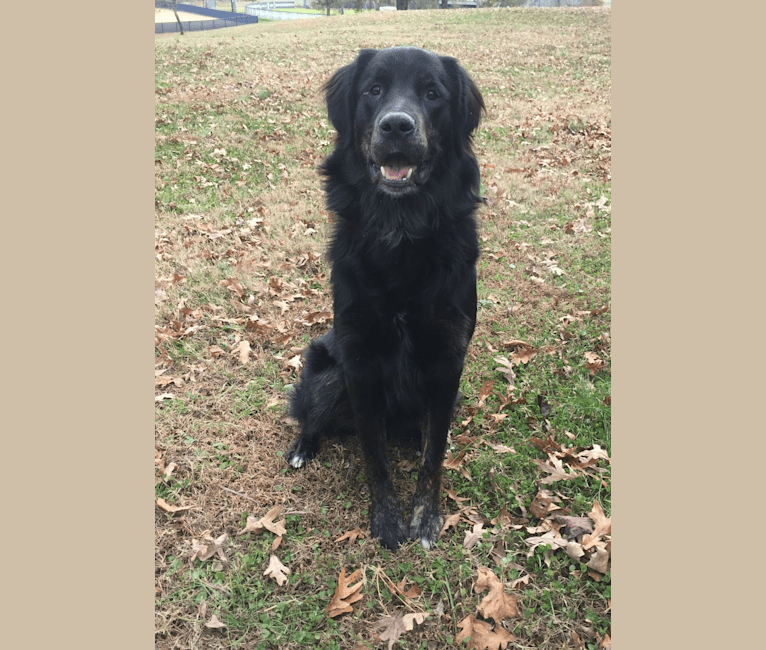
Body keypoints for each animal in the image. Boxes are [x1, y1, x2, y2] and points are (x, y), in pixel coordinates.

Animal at [288, 48, 486, 548]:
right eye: (373, 90)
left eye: (433, 93)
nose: (397, 126)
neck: (400, 231)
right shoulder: (358, 362)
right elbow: (373, 454)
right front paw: (386, 519)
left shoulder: (448, 362)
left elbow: (435, 453)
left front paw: (425, 518)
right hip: (328, 375)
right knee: (310, 414)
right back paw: (302, 447)